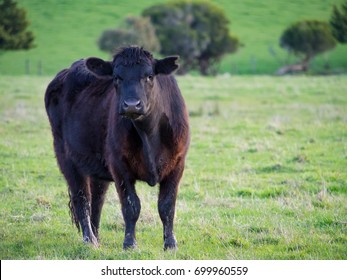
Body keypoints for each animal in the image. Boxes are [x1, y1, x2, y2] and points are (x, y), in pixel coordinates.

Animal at [45, 46, 192, 249]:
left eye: (149, 76)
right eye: (116, 77)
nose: (131, 105)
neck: (148, 133)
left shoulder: (177, 164)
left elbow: (167, 206)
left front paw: (170, 244)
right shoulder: (119, 166)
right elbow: (131, 206)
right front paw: (130, 243)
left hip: (96, 167)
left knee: (97, 199)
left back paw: (97, 238)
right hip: (66, 157)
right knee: (82, 198)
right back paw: (90, 240)